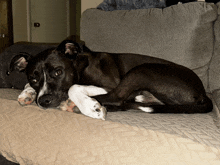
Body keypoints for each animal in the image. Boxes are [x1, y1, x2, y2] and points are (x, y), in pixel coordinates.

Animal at [10, 38, 213, 120]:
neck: (79, 66)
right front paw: (27, 94)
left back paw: (78, 105)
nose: (44, 101)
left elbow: (73, 87)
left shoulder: (108, 85)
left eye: (58, 72)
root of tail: (202, 93)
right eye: (33, 78)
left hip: (142, 70)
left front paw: (90, 108)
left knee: (118, 98)